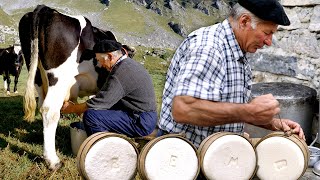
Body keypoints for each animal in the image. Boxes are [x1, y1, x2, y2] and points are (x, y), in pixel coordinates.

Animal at [18, 4, 136, 170]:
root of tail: (47, 10)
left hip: (37, 76)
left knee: (42, 105)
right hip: (58, 78)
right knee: (50, 111)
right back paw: (53, 161)